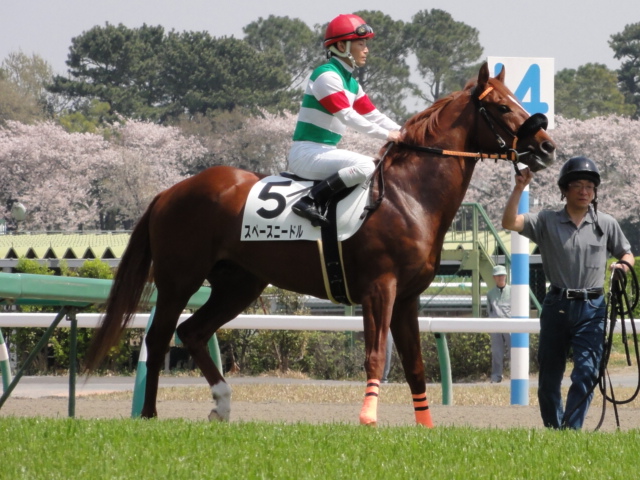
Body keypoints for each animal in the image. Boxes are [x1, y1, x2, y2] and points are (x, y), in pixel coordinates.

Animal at [86, 62, 556, 426]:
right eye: (502, 106)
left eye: (517, 99)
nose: (547, 146)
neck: (408, 197)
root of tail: (170, 191)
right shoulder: (379, 289)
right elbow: (374, 355)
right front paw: (368, 418)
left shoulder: (407, 297)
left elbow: (417, 366)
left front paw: (426, 426)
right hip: (179, 279)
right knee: (160, 337)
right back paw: (148, 414)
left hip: (239, 284)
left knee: (192, 331)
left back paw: (222, 404)